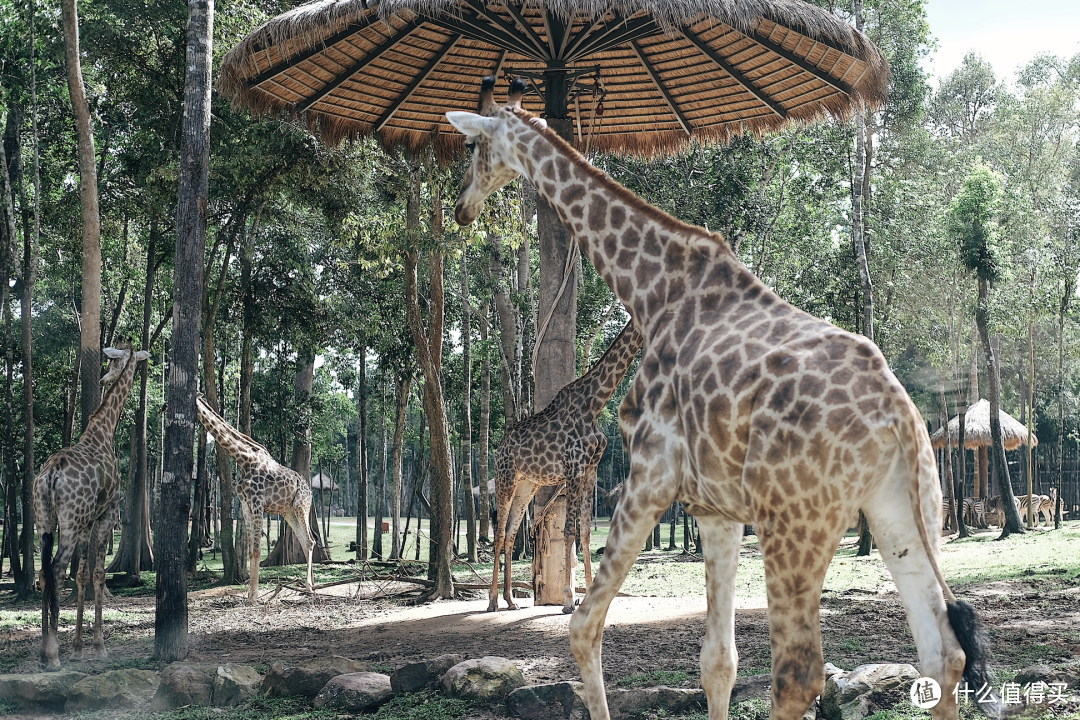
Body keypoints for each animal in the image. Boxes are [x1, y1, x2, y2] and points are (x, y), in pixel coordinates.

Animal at [35, 341, 149, 673]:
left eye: (112, 362)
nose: (102, 378)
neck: (103, 431)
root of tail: (51, 474)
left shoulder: (86, 522)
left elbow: (83, 574)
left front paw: (78, 648)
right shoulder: (107, 514)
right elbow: (97, 573)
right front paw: (98, 646)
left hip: (44, 520)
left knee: (44, 572)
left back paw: (45, 651)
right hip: (69, 522)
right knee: (57, 569)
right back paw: (52, 655)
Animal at [195, 395, 315, 604]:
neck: (244, 459)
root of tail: (310, 491)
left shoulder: (258, 504)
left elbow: (258, 550)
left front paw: (254, 597)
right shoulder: (246, 506)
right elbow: (251, 550)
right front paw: (250, 594)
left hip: (302, 506)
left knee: (309, 541)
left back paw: (308, 587)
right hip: (288, 512)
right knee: (304, 540)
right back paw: (313, 586)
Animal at [488, 317, 639, 613]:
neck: (595, 402)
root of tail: (501, 446)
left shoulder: (590, 470)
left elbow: (586, 532)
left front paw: (589, 595)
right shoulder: (573, 467)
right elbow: (569, 531)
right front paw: (569, 600)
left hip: (527, 485)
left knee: (511, 533)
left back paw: (510, 599)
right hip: (505, 477)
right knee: (499, 533)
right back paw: (492, 601)